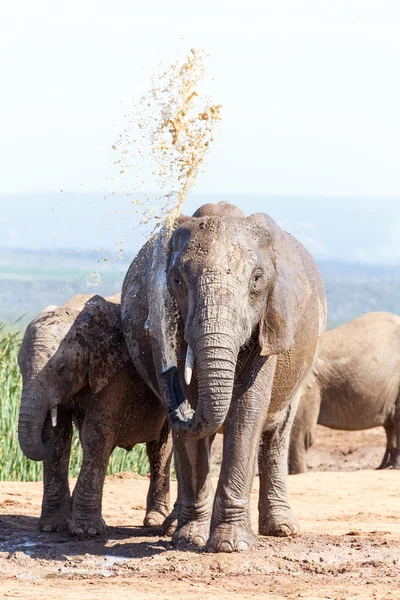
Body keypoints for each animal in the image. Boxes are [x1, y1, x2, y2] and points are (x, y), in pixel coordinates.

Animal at [17, 292, 172, 532]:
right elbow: (60, 437)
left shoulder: (114, 373)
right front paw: (52, 527)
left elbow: (95, 434)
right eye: (19, 366)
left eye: (61, 368)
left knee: (159, 449)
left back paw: (155, 521)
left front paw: (86, 530)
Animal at [120, 200, 326, 552]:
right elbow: (191, 430)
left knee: (277, 433)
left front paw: (230, 546)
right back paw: (170, 528)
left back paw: (282, 529)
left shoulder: (269, 324)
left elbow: (247, 413)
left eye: (257, 279)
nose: (166, 375)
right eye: (177, 280)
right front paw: (189, 539)